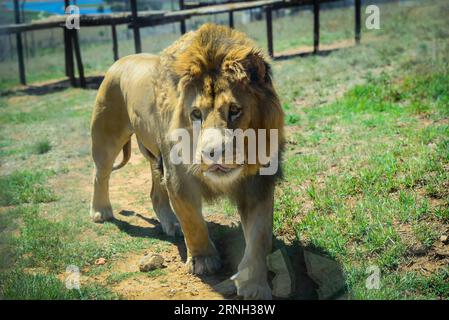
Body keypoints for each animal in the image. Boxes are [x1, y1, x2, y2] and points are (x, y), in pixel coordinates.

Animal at [89, 23, 284, 300]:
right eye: (196, 114)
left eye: (235, 110)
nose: (213, 153)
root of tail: (122, 60)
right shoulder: (178, 176)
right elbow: (192, 220)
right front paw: (203, 260)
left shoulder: (258, 182)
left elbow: (259, 236)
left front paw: (254, 286)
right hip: (107, 137)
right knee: (100, 174)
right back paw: (101, 211)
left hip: (154, 154)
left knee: (155, 193)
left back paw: (170, 224)